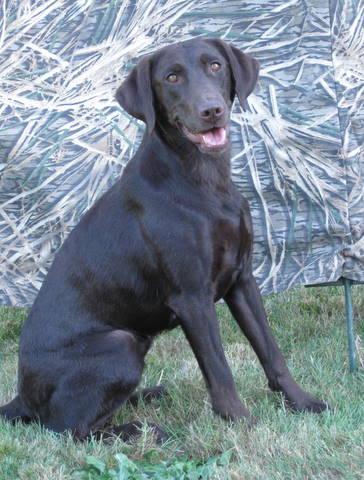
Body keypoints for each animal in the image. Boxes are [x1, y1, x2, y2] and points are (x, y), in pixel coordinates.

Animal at [0, 37, 328, 442]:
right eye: (171, 77)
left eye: (216, 65)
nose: (211, 110)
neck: (205, 180)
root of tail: (22, 397)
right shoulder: (192, 298)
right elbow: (219, 371)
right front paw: (241, 424)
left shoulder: (242, 280)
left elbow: (271, 351)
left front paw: (301, 402)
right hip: (120, 344)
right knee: (68, 429)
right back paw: (145, 430)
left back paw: (147, 396)